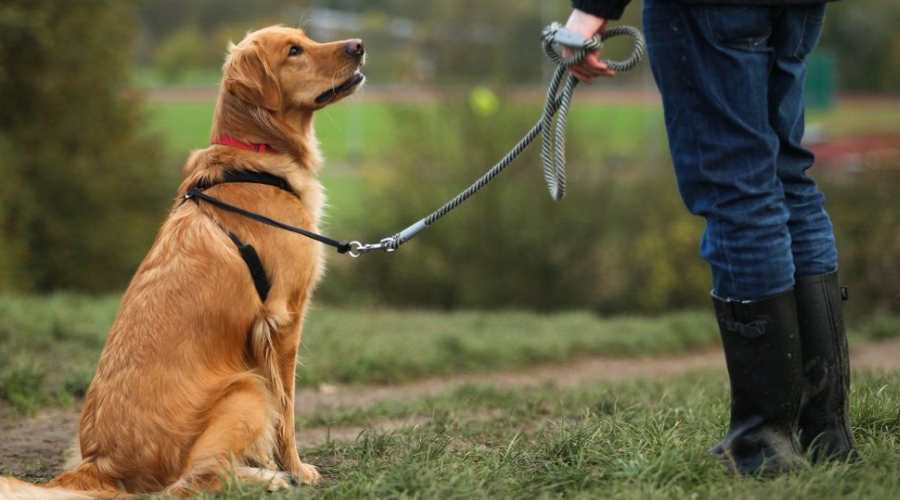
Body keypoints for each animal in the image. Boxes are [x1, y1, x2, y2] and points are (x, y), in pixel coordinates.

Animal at [1, 25, 366, 498]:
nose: (359, 46)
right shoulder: (283, 319)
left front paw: (276, 463)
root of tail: (98, 463)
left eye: (305, 38)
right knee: (195, 480)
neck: (258, 157)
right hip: (244, 388)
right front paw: (297, 469)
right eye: (294, 51)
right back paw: (267, 478)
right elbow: (285, 409)